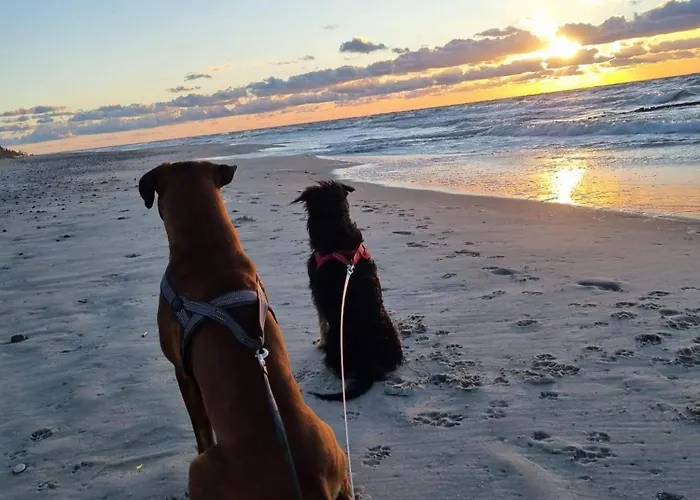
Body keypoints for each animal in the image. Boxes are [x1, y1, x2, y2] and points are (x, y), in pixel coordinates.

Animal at [139, 162, 352, 499]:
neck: (207, 249)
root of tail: (309, 482)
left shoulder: (182, 371)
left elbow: (201, 431)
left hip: (201, 469)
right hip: (333, 450)